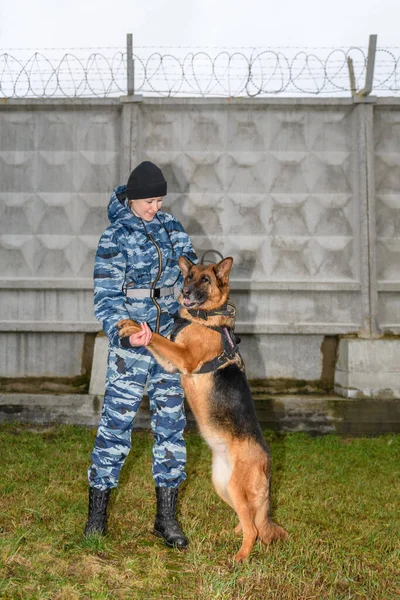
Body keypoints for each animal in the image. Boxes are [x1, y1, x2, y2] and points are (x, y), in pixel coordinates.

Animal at [115, 258, 288, 564]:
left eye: (205, 280)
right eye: (189, 276)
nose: (184, 292)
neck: (204, 317)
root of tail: (266, 461)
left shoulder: (184, 357)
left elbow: (158, 338)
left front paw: (135, 326)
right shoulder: (172, 363)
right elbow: (153, 337)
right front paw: (130, 324)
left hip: (235, 489)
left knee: (254, 529)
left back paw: (240, 557)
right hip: (222, 486)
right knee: (249, 521)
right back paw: (230, 534)